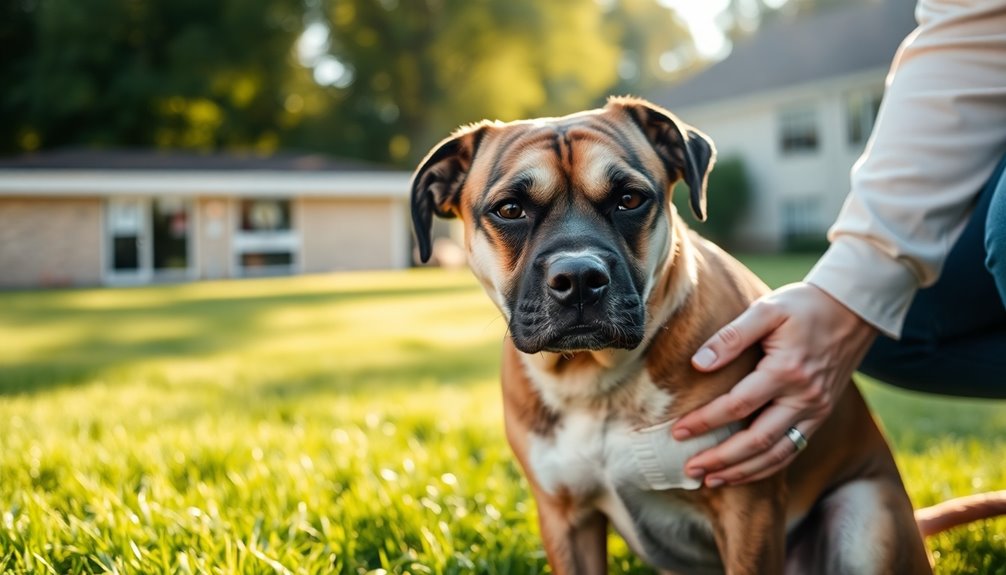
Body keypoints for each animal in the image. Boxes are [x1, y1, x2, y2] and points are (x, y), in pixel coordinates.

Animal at [408, 96, 1006, 570]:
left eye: (630, 199)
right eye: (510, 209)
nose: (578, 277)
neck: (598, 384)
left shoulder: (746, 506)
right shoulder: (565, 518)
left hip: (864, 517)